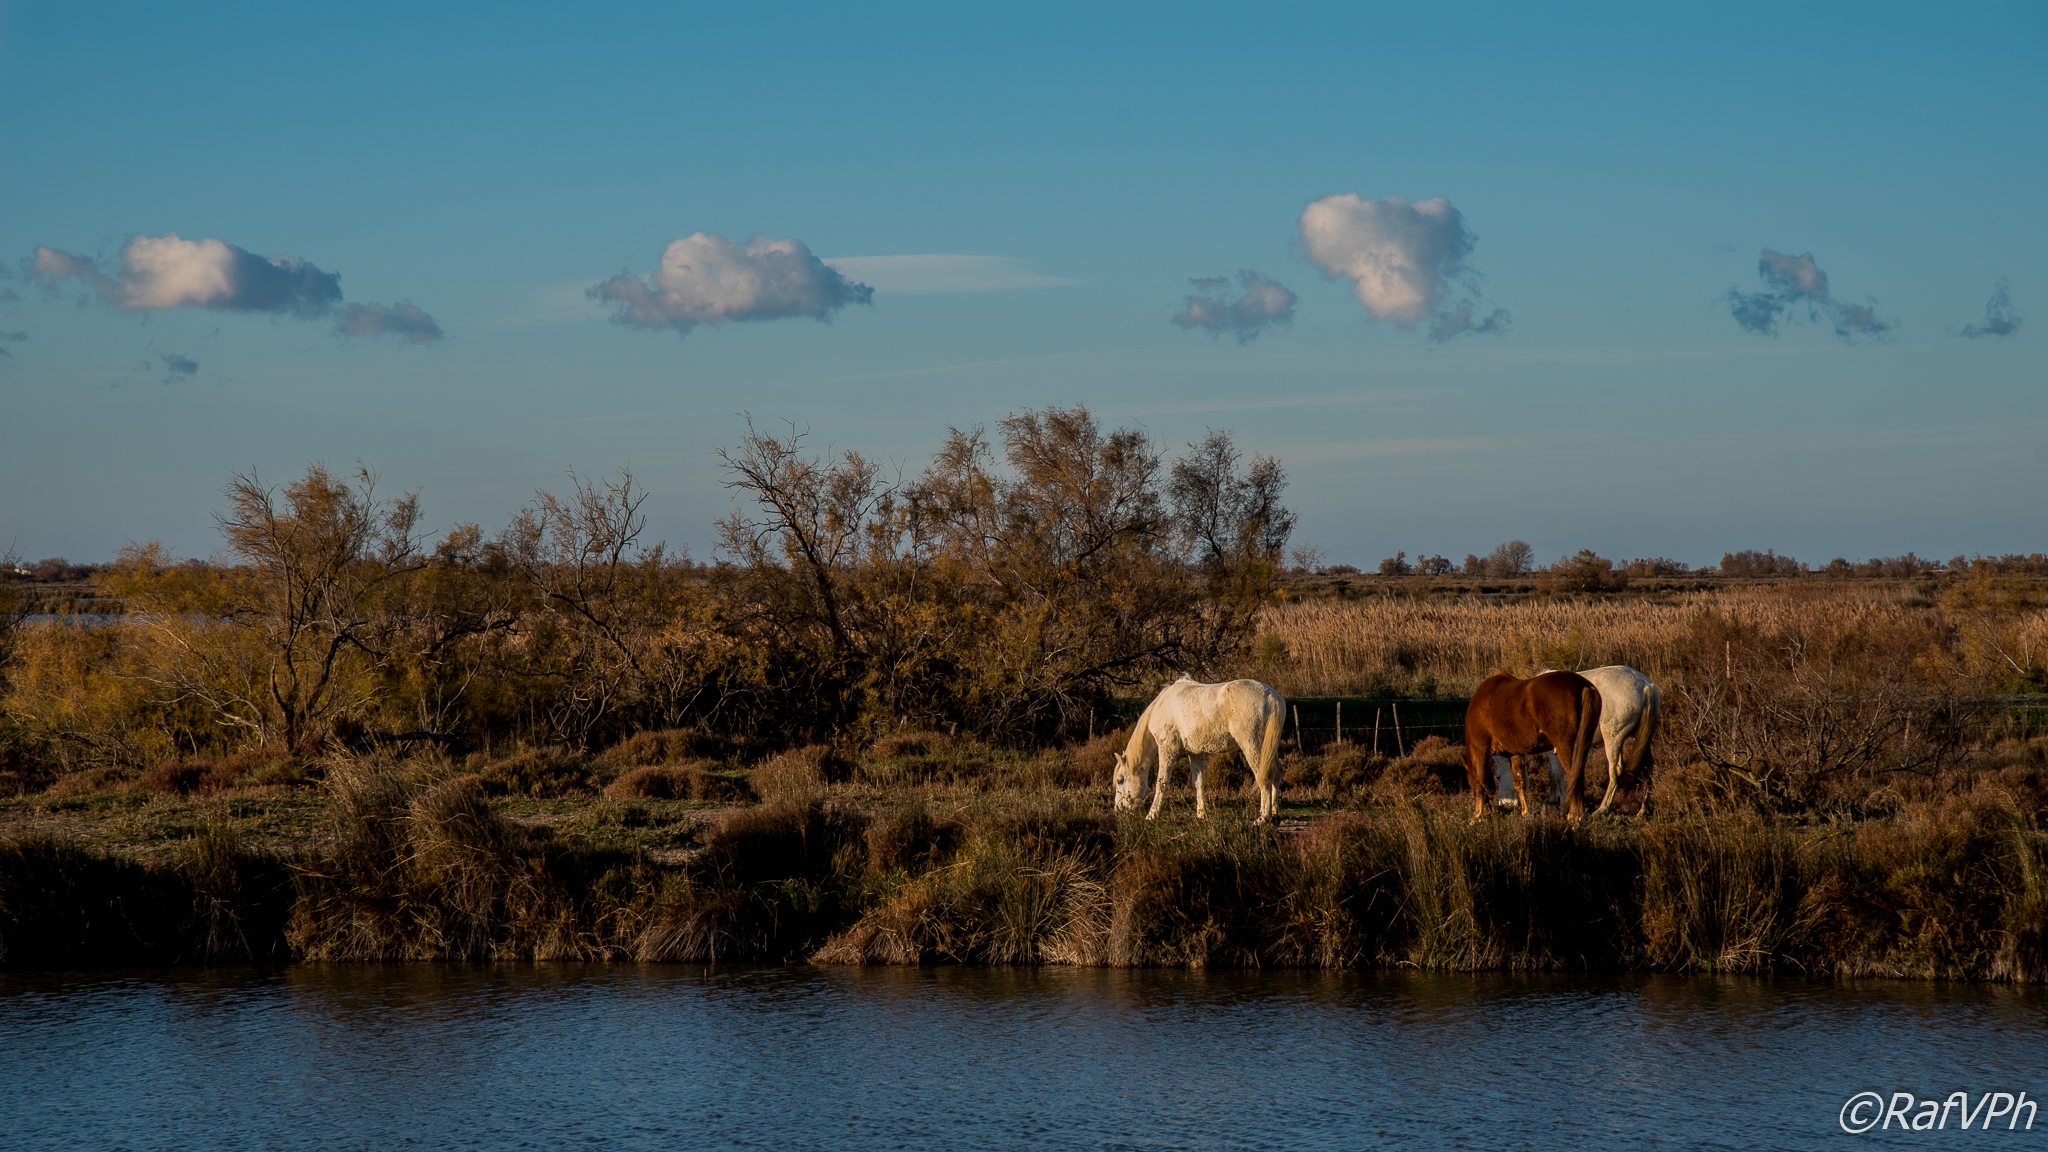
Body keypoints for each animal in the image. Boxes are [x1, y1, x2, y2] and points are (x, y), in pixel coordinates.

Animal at [1112, 676, 1287, 823]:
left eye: (1120, 780)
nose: (1118, 808)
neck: (1163, 705)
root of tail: (1271, 696)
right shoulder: (1195, 753)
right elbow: (1198, 782)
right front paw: (1201, 814)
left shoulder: (1167, 749)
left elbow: (1161, 782)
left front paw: (1152, 814)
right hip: (1268, 749)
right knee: (1276, 771)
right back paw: (1275, 814)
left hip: (1252, 746)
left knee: (1263, 776)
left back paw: (1263, 818)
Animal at [1462, 671, 1601, 825]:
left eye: (1469, 782)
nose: (1488, 812)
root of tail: (1582, 685)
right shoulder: (1514, 754)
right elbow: (1519, 783)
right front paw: (1525, 813)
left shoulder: (1480, 750)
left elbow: (1481, 784)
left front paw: (1475, 817)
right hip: (1582, 745)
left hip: (1566, 748)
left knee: (1573, 777)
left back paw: (1575, 817)